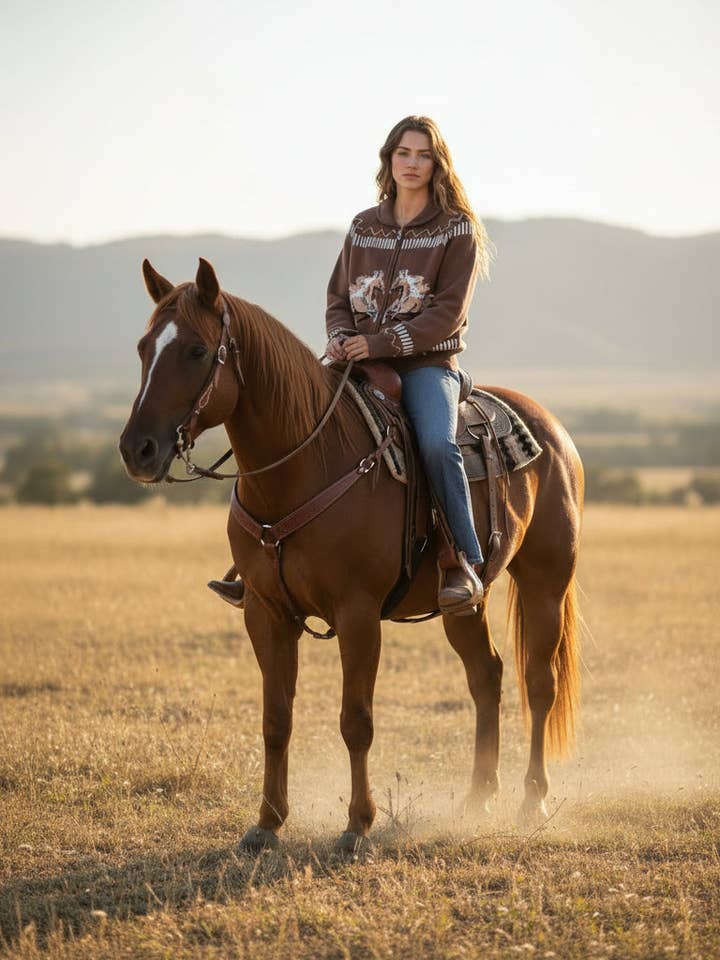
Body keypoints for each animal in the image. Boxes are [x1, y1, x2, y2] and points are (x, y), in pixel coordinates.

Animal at [119, 257, 584, 854]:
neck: (306, 463)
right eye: (143, 347)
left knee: (539, 682)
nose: (137, 449)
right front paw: (267, 823)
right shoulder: (265, 613)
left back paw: (532, 800)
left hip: (547, 582)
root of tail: (550, 429)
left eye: (197, 351)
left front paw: (357, 825)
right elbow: (276, 718)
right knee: (487, 675)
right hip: (464, 602)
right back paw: (479, 796)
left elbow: (355, 720)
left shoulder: (358, 614)